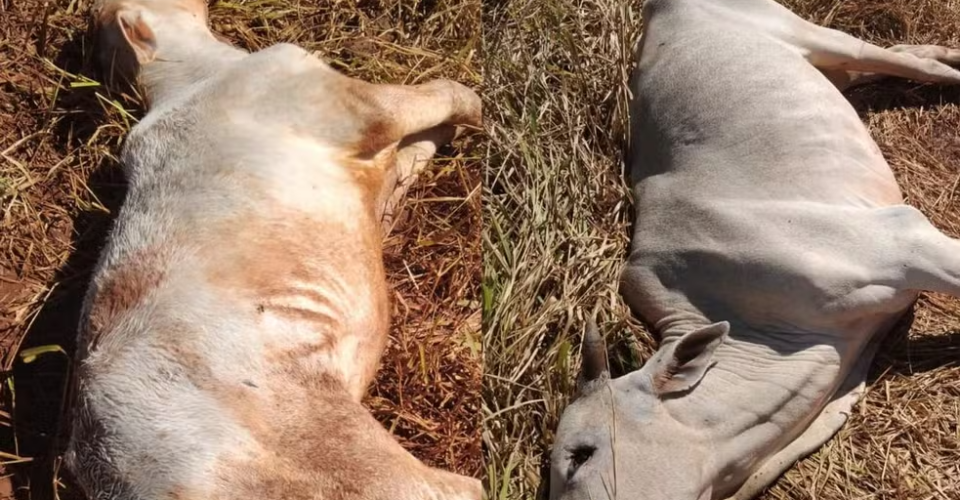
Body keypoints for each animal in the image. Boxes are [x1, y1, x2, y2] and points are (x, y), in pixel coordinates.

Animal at [67, 0, 484, 500]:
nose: (93, 10)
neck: (192, 79)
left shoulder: (374, 182)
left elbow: (415, 152)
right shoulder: (328, 93)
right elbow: (440, 97)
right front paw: (481, 111)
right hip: (324, 438)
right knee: (452, 487)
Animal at [552, 0, 960, 500]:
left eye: (581, 454)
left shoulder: (905, 241)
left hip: (806, 32)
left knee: (898, 59)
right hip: (826, 69)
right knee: (892, 58)